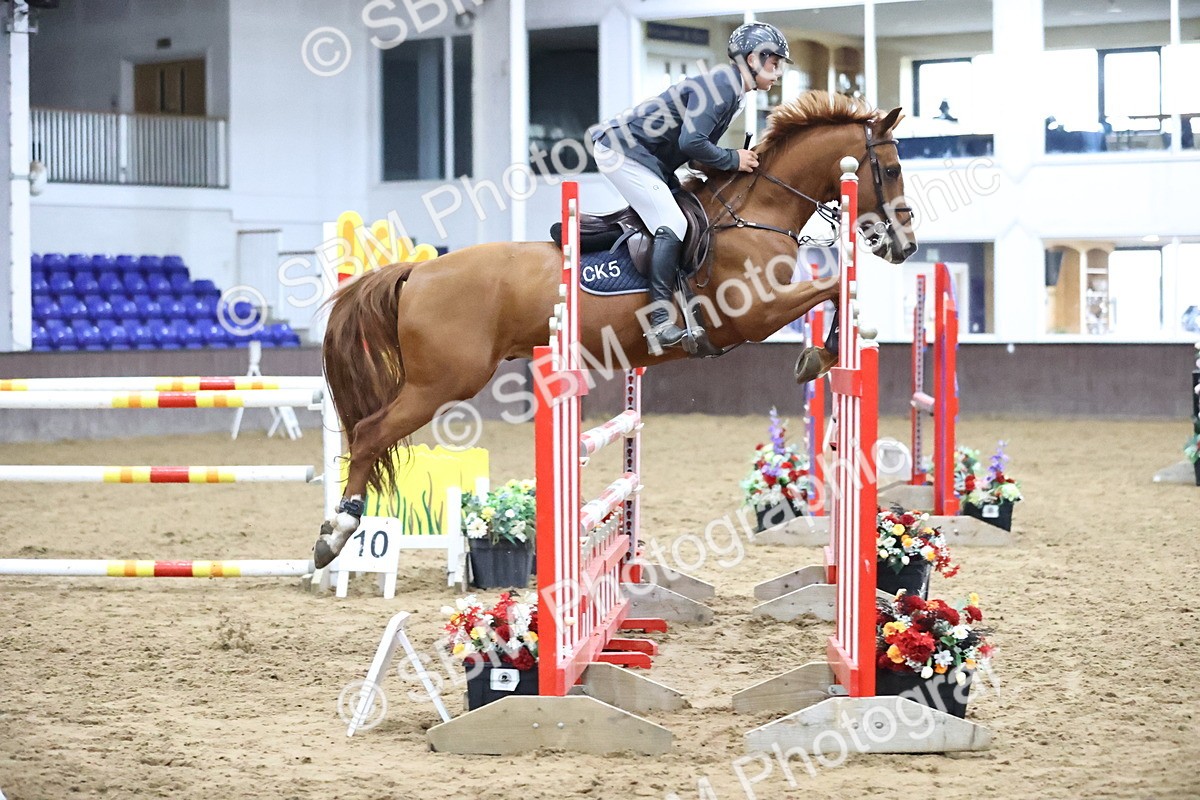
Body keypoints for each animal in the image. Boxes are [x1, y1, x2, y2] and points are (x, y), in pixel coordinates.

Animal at [312, 90, 917, 567]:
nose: (905, 246)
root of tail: (417, 271)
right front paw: (820, 354)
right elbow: (833, 285)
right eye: (889, 170)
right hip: (441, 383)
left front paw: (823, 352)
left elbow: (836, 287)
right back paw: (336, 534)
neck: (756, 212)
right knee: (368, 433)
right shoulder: (754, 315)